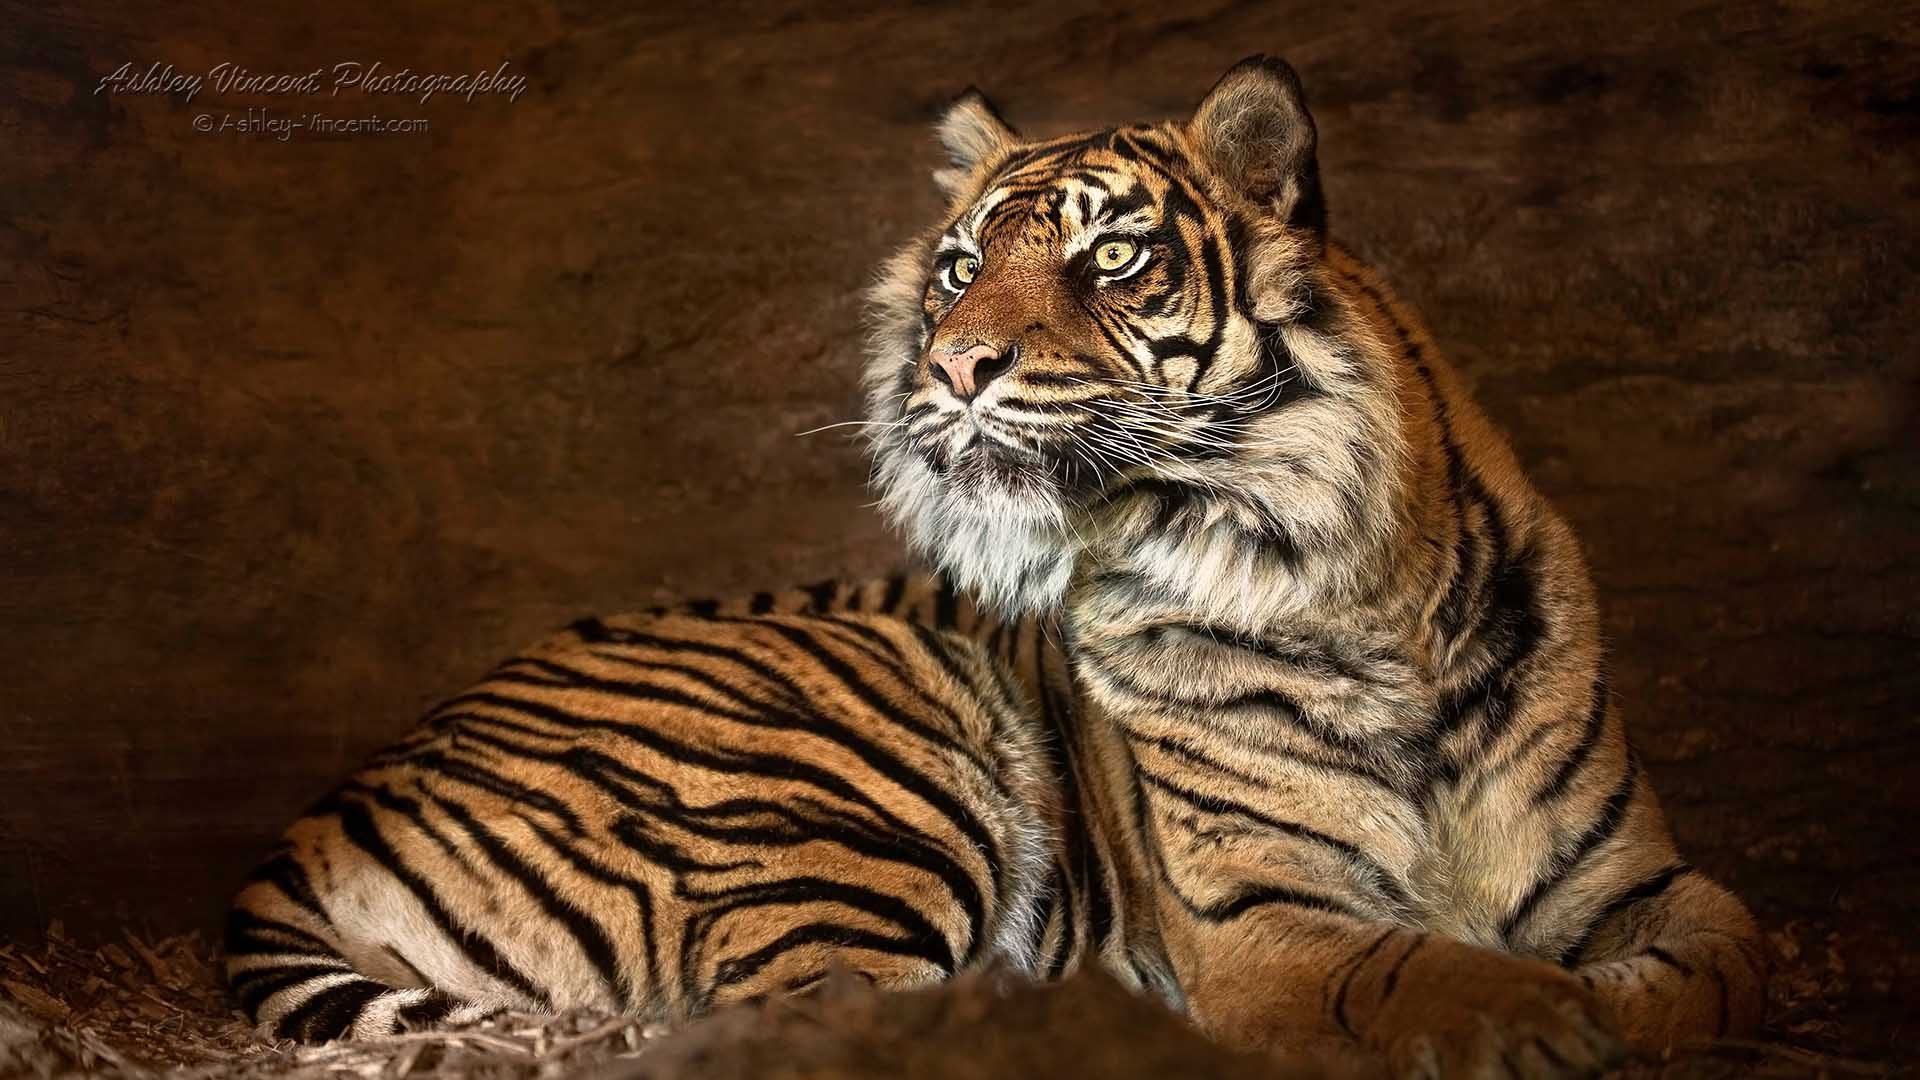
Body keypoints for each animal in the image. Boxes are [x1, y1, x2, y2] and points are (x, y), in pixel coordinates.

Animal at [860, 55, 1768, 1075]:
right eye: (961, 269)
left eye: (1113, 257)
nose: (953, 366)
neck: (1366, 600)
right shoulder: (1258, 913)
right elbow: (1434, 973)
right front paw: (1547, 1021)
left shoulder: (1637, 878)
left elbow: (1714, 973)